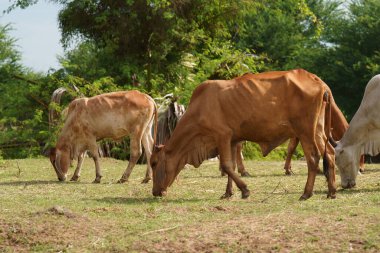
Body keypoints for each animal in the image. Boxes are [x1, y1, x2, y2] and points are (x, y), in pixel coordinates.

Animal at [150, 68, 336, 200]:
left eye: (154, 163)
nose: (155, 192)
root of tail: (318, 81)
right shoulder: (232, 140)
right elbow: (231, 166)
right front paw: (228, 193)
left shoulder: (222, 136)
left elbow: (226, 165)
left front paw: (245, 190)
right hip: (318, 130)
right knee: (330, 154)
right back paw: (331, 191)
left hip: (305, 131)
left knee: (313, 158)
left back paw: (306, 193)